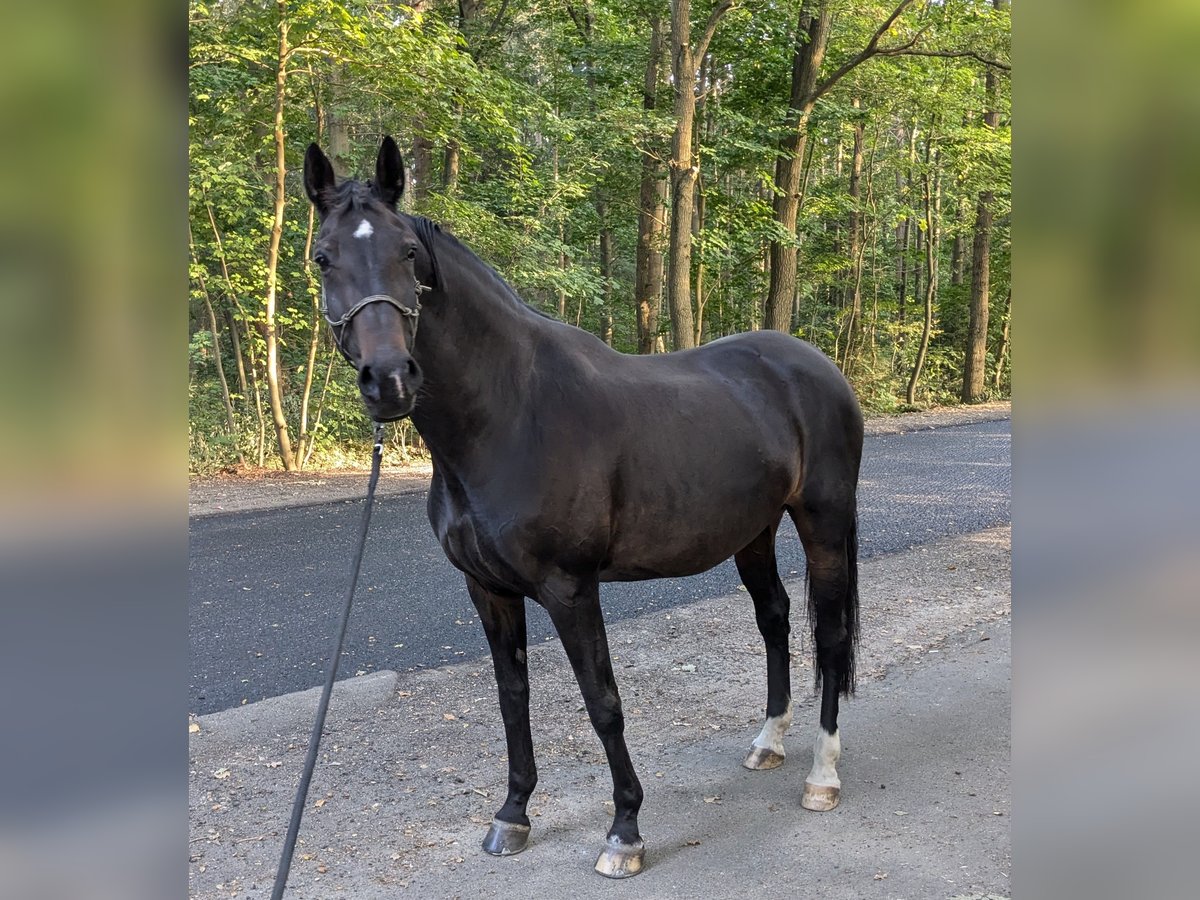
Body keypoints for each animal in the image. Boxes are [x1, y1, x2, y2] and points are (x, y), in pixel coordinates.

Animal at [300, 137, 864, 878]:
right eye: (323, 256)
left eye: (408, 253)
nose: (389, 379)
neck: (509, 417)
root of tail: (817, 366)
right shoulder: (488, 590)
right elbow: (513, 701)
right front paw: (512, 815)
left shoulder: (570, 588)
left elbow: (603, 703)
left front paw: (624, 830)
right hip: (755, 531)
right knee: (773, 619)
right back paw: (768, 742)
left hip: (823, 519)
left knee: (829, 635)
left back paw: (822, 775)